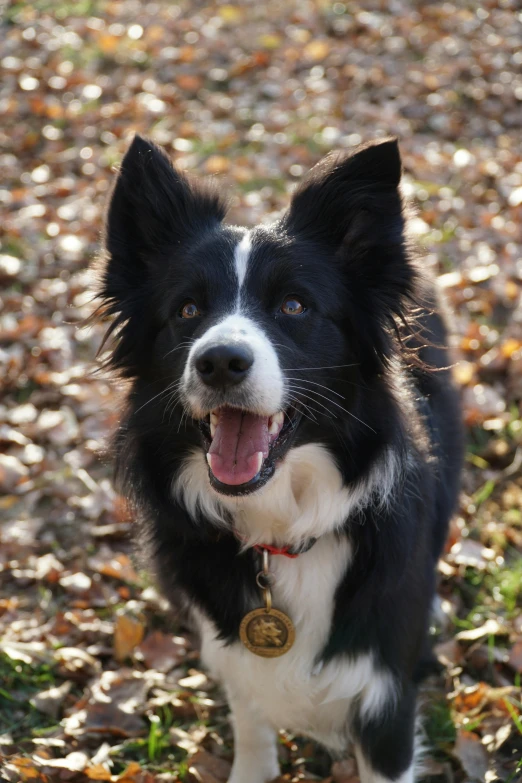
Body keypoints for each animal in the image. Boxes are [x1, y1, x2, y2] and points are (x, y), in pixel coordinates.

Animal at [95, 136, 462, 783]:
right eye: (187, 310)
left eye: (294, 305)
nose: (219, 361)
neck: (280, 526)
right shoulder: (238, 657)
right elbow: (252, 724)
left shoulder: (386, 694)